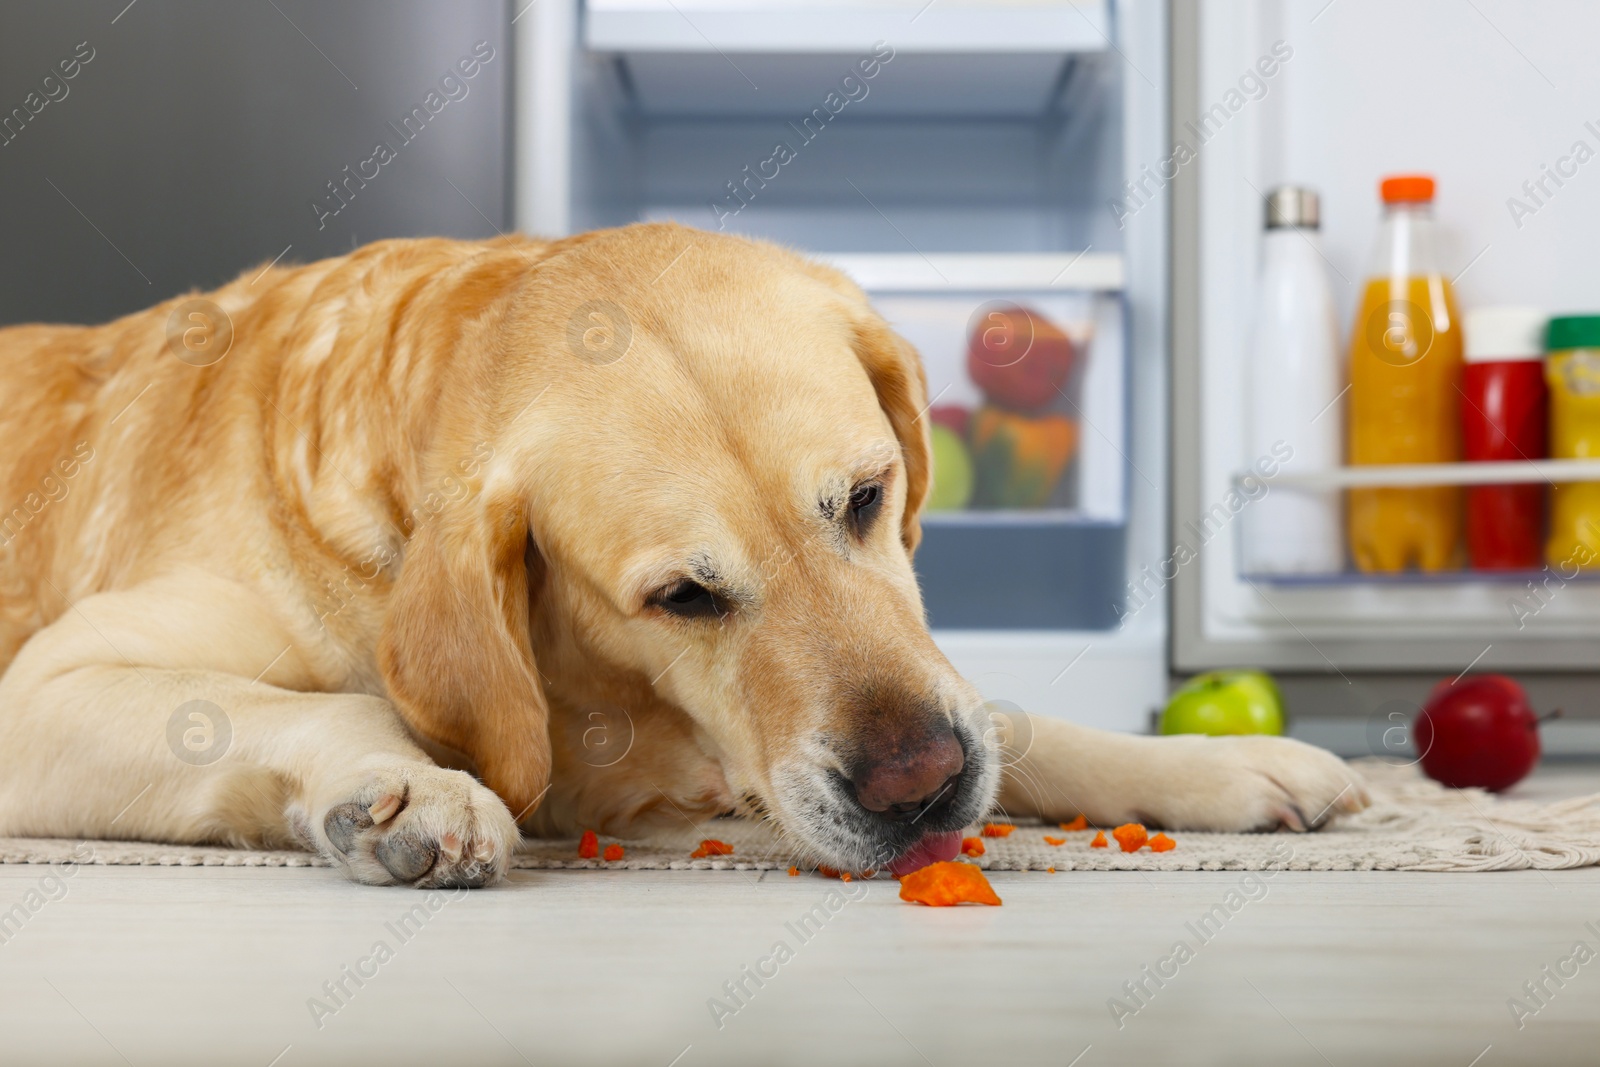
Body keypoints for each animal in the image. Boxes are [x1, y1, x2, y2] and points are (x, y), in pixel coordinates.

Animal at [0, 223, 1376, 883]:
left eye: (866, 497)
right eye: (682, 595)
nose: (919, 787)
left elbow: (1016, 717)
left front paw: (1219, 764)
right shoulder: (46, 691)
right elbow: (329, 704)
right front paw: (407, 788)